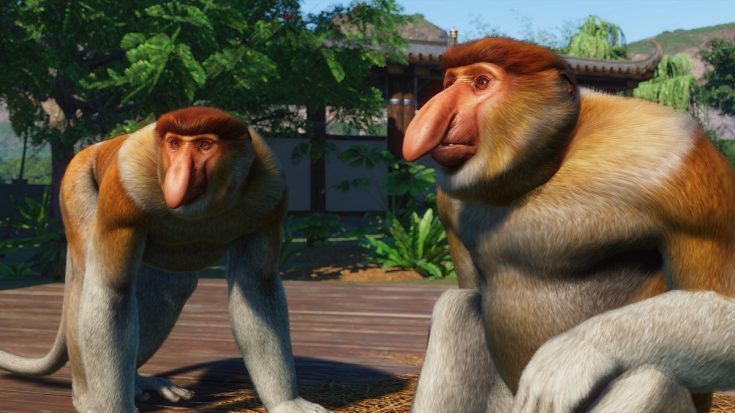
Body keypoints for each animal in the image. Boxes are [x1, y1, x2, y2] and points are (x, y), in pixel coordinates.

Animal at [0, 107, 328, 413]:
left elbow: (256, 287)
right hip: (76, 186)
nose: (180, 174)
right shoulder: (124, 196)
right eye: (174, 144)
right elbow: (111, 292)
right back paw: (86, 397)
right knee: (88, 287)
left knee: (170, 287)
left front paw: (287, 401)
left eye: (205, 145)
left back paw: (137, 381)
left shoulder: (269, 197)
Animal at [402, 37, 735, 413]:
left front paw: (570, 357)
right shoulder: (447, 203)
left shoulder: (677, 164)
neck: (549, 163)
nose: (427, 118)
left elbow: (726, 308)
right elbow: (470, 290)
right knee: (457, 308)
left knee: (652, 379)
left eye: (481, 83)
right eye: (448, 83)